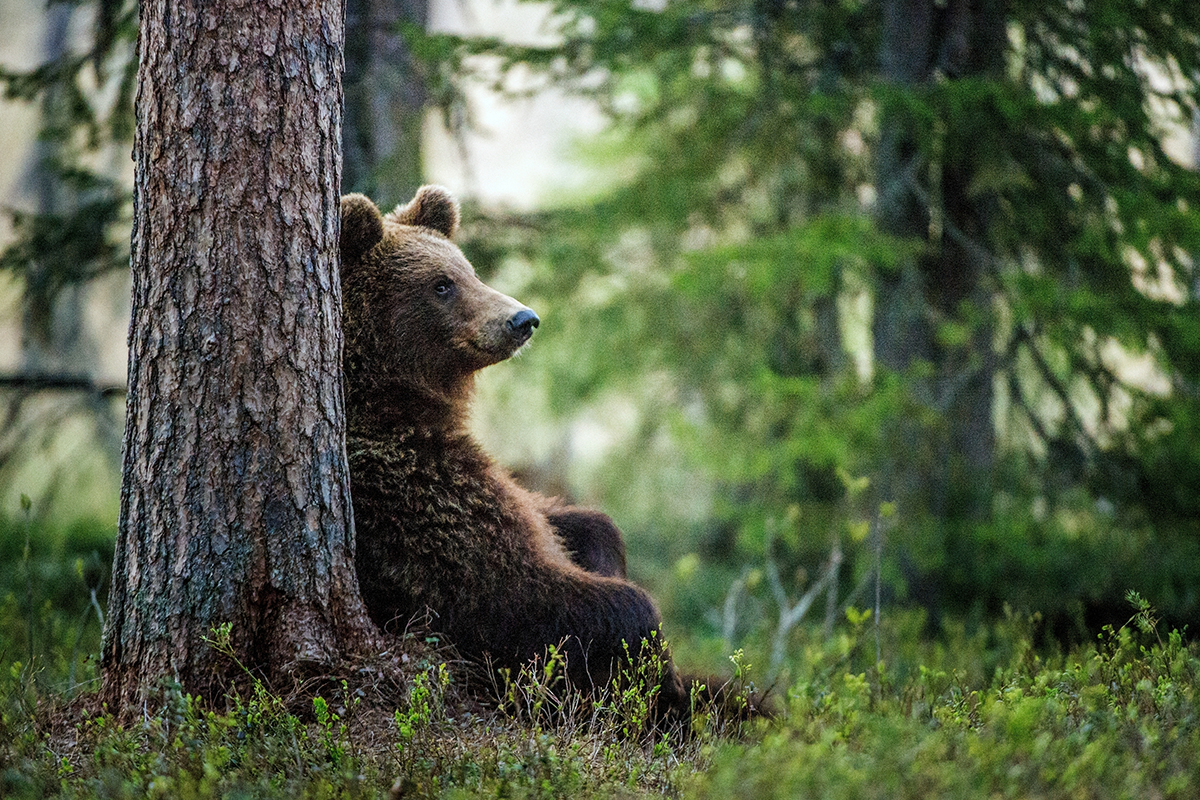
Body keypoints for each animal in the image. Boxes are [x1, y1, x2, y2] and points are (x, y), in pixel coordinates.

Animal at [343, 185, 691, 714]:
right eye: (441, 285)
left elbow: (580, 523)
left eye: (469, 270)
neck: (393, 400)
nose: (522, 319)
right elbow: (516, 592)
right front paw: (660, 685)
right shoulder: (415, 501)